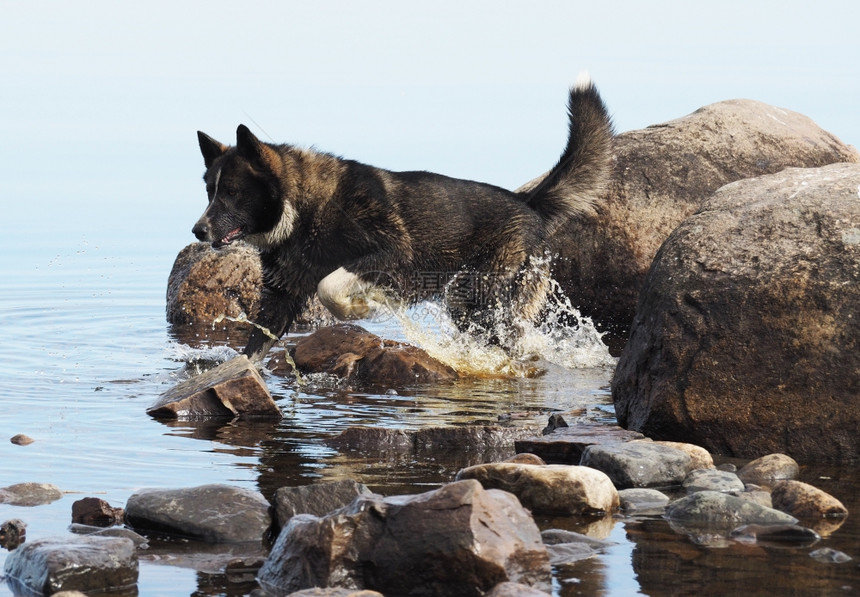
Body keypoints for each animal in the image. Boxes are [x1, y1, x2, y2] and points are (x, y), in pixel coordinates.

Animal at [194, 76, 612, 360]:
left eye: (233, 192)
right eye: (209, 190)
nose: (197, 230)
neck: (307, 209)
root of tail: (527, 201)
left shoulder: (393, 253)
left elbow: (330, 285)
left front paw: (360, 307)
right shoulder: (280, 299)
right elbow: (253, 348)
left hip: (480, 292)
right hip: (466, 301)